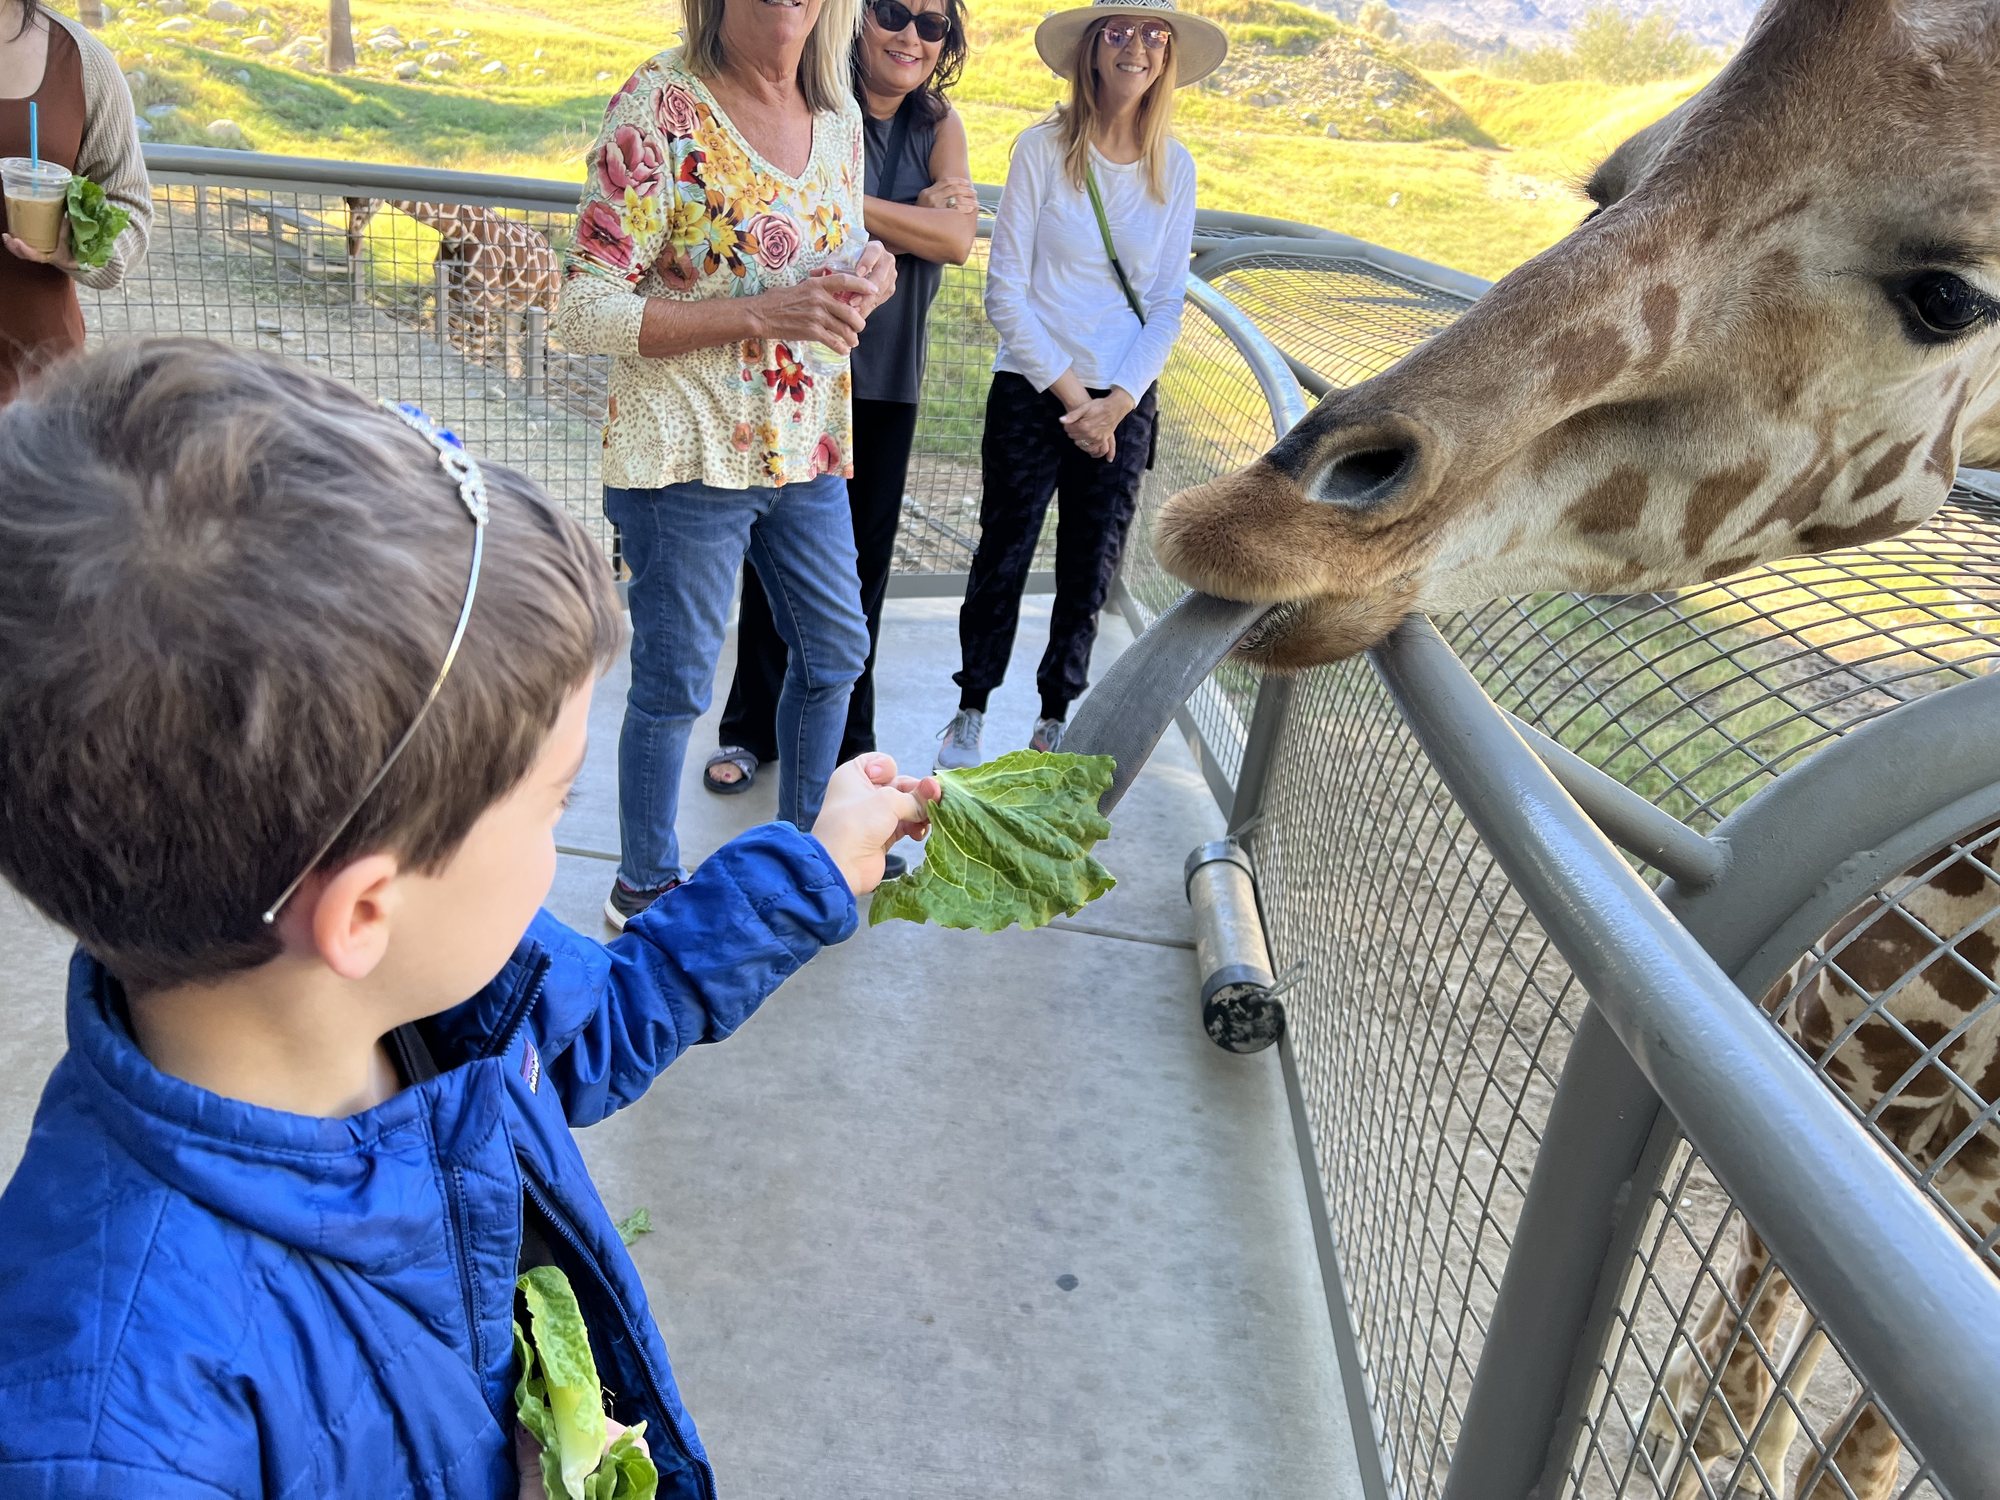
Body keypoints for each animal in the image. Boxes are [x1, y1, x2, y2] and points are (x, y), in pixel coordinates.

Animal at [343, 198, 561, 378]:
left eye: (362, 200)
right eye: (347, 199)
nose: (352, 240)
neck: (459, 231)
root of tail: (552, 251)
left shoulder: (480, 302)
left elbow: (475, 357)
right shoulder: (454, 296)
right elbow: (454, 347)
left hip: (547, 306)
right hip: (510, 311)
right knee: (514, 362)